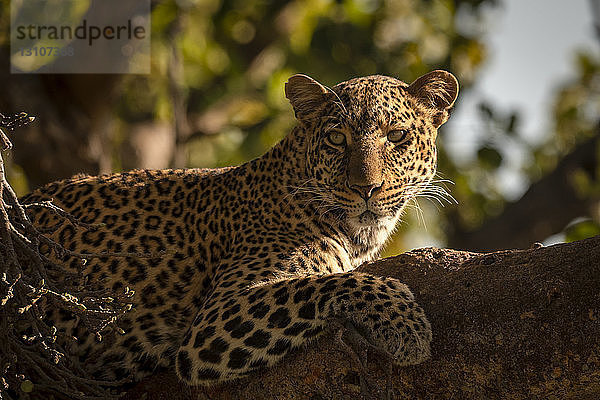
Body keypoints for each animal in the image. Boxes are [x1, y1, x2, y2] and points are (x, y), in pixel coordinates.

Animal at [21, 69, 458, 388]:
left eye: (396, 136)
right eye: (337, 138)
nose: (365, 188)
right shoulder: (213, 322)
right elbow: (324, 283)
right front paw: (404, 324)